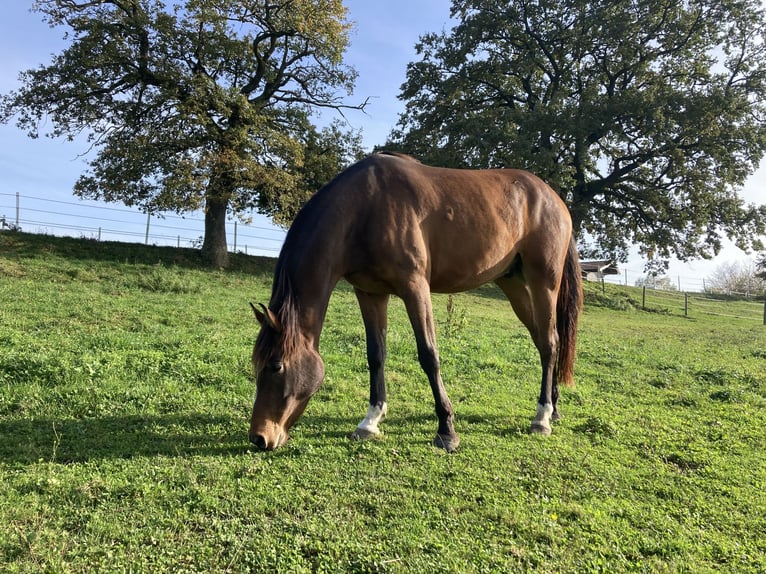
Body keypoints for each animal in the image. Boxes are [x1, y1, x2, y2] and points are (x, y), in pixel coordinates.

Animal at [250, 152, 584, 454]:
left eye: (276, 366)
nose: (259, 437)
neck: (363, 209)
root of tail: (553, 198)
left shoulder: (415, 289)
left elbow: (429, 355)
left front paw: (447, 431)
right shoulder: (370, 294)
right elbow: (376, 355)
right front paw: (370, 421)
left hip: (544, 283)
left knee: (550, 343)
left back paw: (541, 418)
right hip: (513, 283)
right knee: (543, 340)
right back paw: (553, 408)